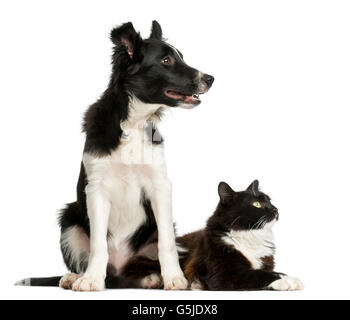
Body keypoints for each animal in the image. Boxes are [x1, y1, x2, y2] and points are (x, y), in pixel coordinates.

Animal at [16, 19, 212, 290]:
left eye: (180, 56)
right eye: (166, 61)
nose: (210, 78)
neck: (132, 122)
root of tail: (120, 273)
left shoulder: (160, 185)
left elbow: (167, 243)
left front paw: (174, 277)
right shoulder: (96, 188)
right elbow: (98, 244)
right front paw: (91, 280)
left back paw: (152, 278)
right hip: (69, 218)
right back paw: (76, 277)